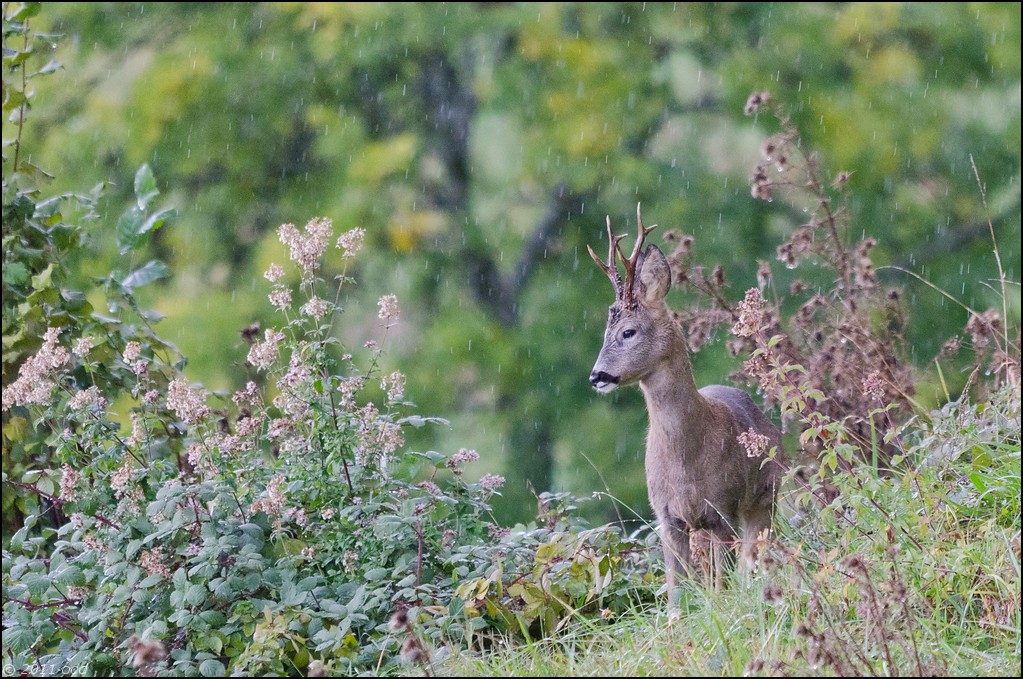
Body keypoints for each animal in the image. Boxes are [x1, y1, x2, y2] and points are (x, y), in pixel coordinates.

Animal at [589, 205, 777, 589]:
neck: (685, 461)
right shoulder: (665, 516)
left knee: (753, 560)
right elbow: (678, 589)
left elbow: (722, 585)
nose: (596, 376)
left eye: (628, 332)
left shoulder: (724, 508)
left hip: (766, 495)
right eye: (603, 334)